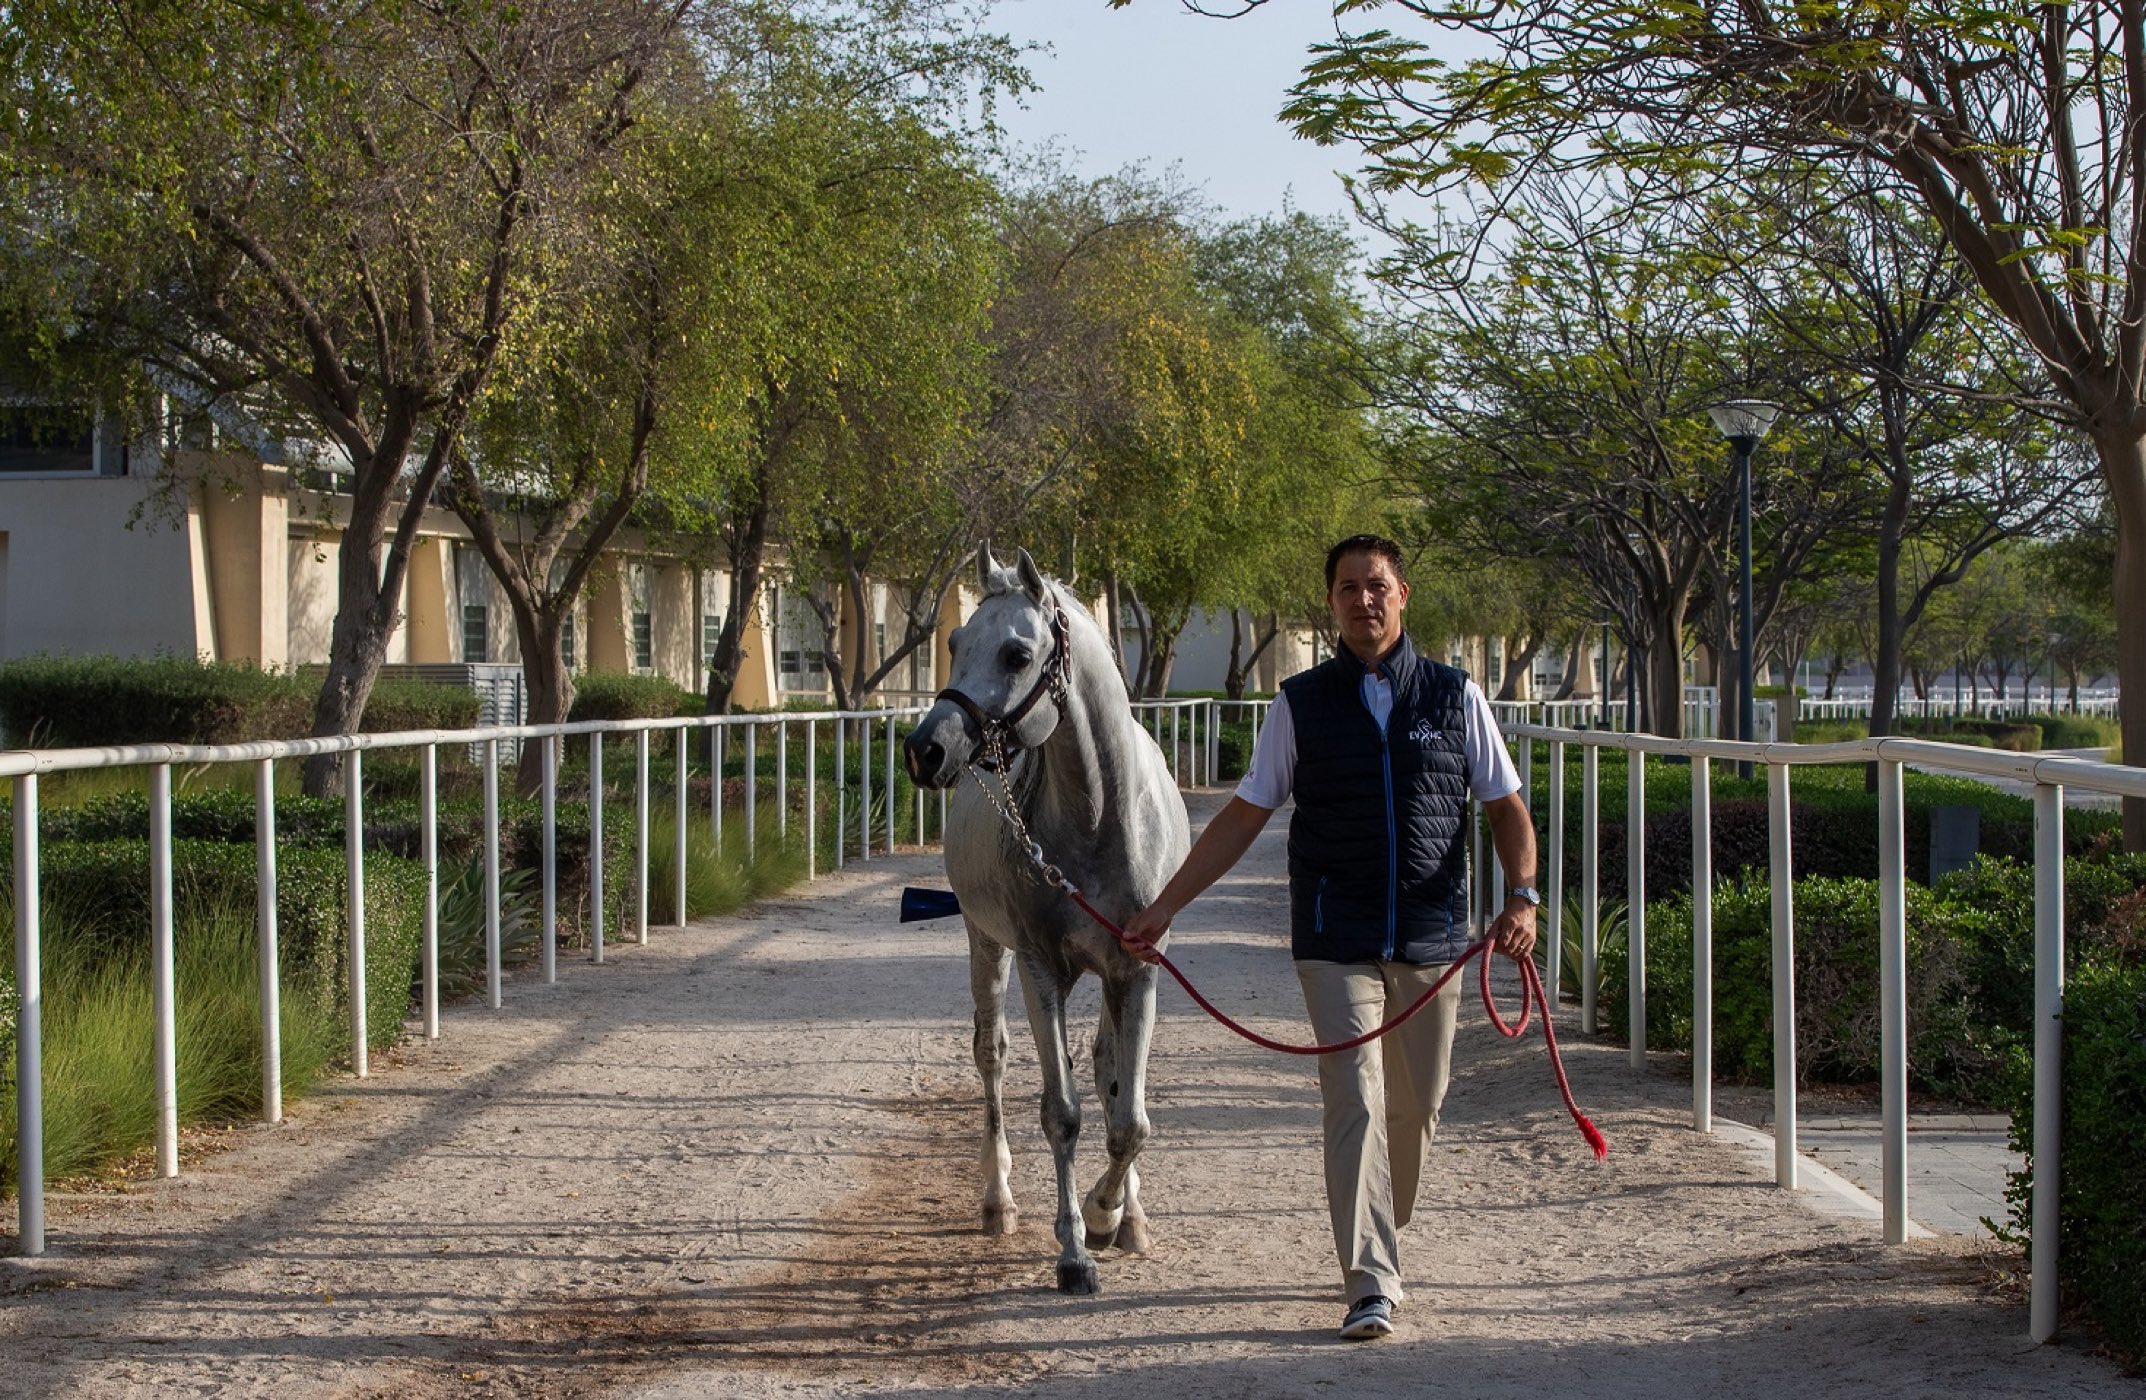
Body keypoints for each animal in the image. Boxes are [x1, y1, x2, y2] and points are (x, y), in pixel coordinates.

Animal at [902, 546, 1191, 1295]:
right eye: (953, 642)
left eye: (1016, 653)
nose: (925, 749)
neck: (1098, 817)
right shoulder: (1040, 968)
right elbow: (1061, 1114)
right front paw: (1074, 1250)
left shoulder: (1136, 971)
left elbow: (1129, 1119)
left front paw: (1111, 1212)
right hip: (985, 945)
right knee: (993, 1059)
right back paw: (998, 1201)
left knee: (1108, 1068)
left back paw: (1128, 1213)